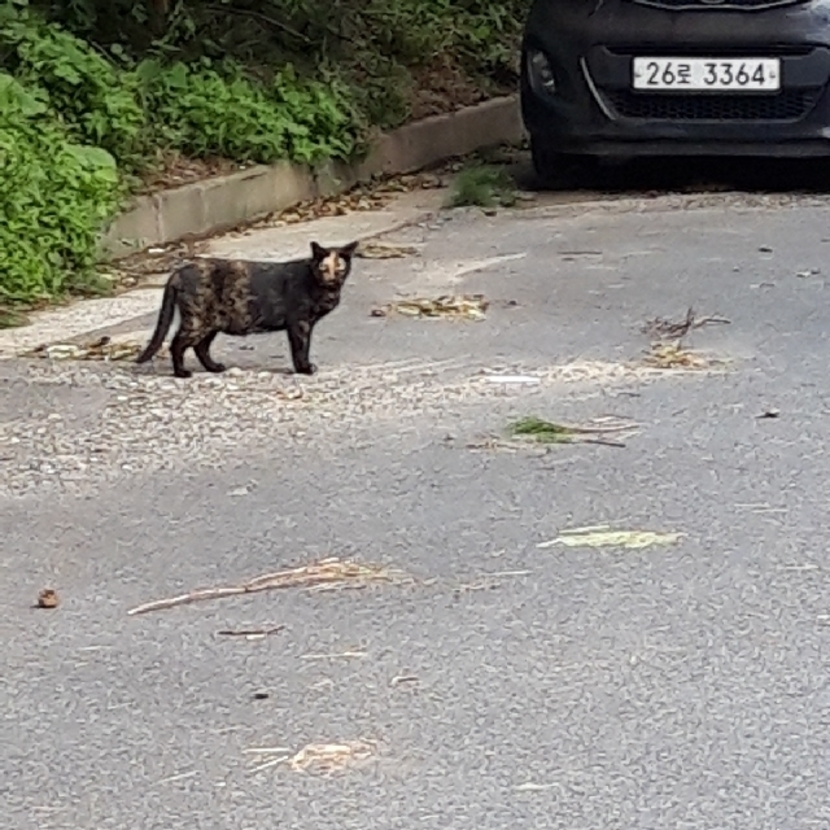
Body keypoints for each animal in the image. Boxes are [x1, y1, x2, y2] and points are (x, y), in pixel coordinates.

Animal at [135, 240, 358, 378]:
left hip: (212, 322)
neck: (325, 290)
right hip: (198, 320)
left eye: (340, 267)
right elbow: (301, 348)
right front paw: (304, 369)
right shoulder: (300, 323)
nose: (332, 279)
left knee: (201, 347)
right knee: (177, 344)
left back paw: (215, 368)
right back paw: (181, 373)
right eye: (323, 267)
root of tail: (178, 272)